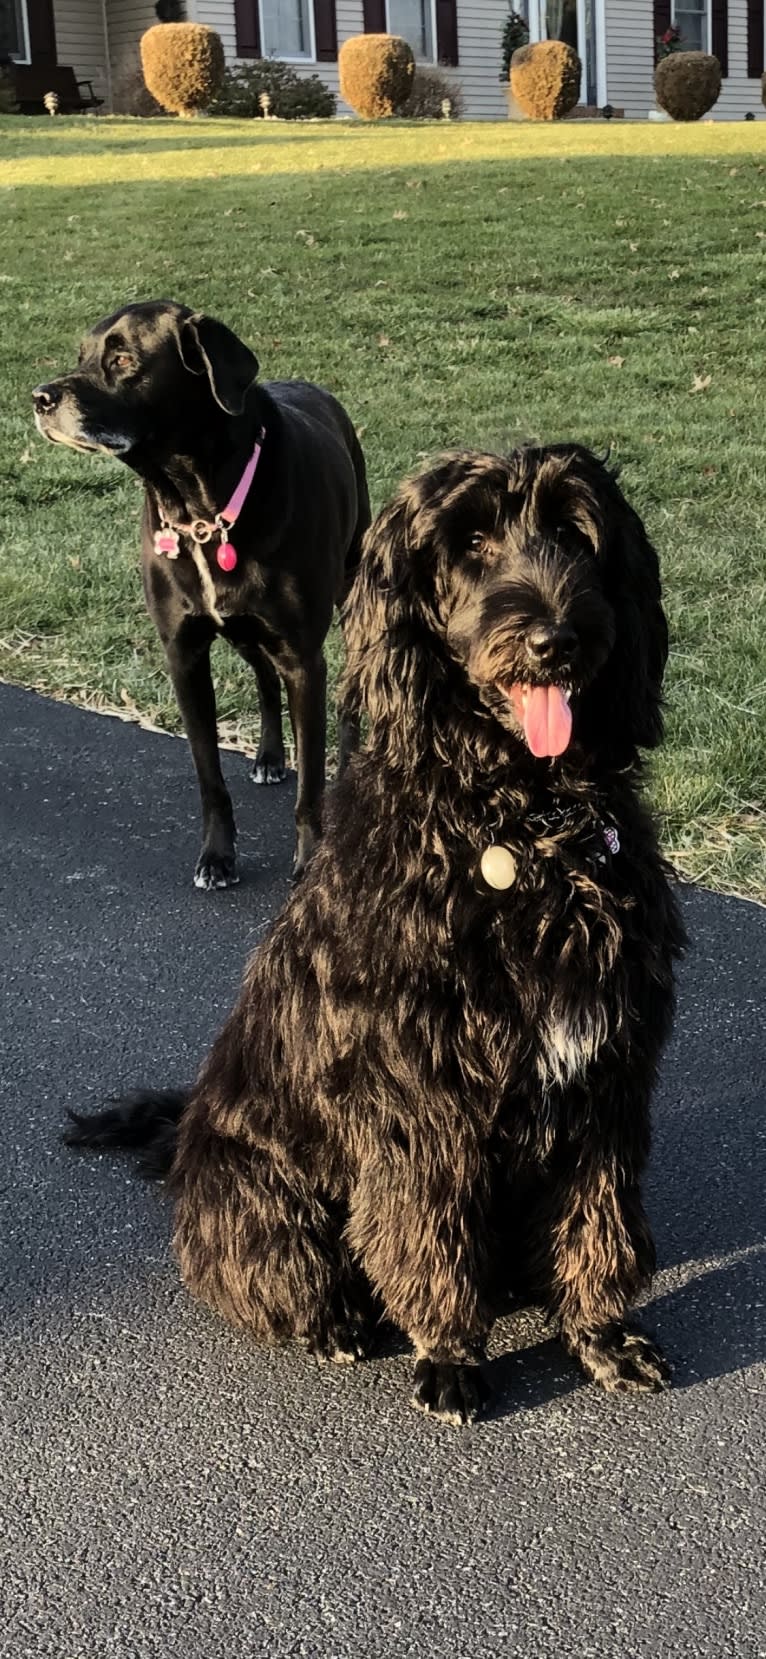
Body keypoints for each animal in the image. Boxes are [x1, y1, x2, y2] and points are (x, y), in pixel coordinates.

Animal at [34, 303, 369, 889]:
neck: (199, 506)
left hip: (354, 594)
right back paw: (268, 755)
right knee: (263, 677)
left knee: (346, 695)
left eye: (123, 360)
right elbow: (208, 775)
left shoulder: (304, 658)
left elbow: (310, 784)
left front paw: (310, 859)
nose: (40, 398)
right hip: (242, 631)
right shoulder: (184, 654)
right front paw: (217, 856)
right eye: (81, 356)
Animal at [68, 451, 686, 1426]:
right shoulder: (421, 1097)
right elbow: (428, 1231)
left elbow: (599, 1217)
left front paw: (600, 1333)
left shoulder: (606, 1076)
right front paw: (451, 1355)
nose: (556, 639)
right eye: (471, 542)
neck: (518, 826)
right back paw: (336, 1321)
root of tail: (187, 1131)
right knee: (282, 1273)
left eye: (575, 533)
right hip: (260, 1198)